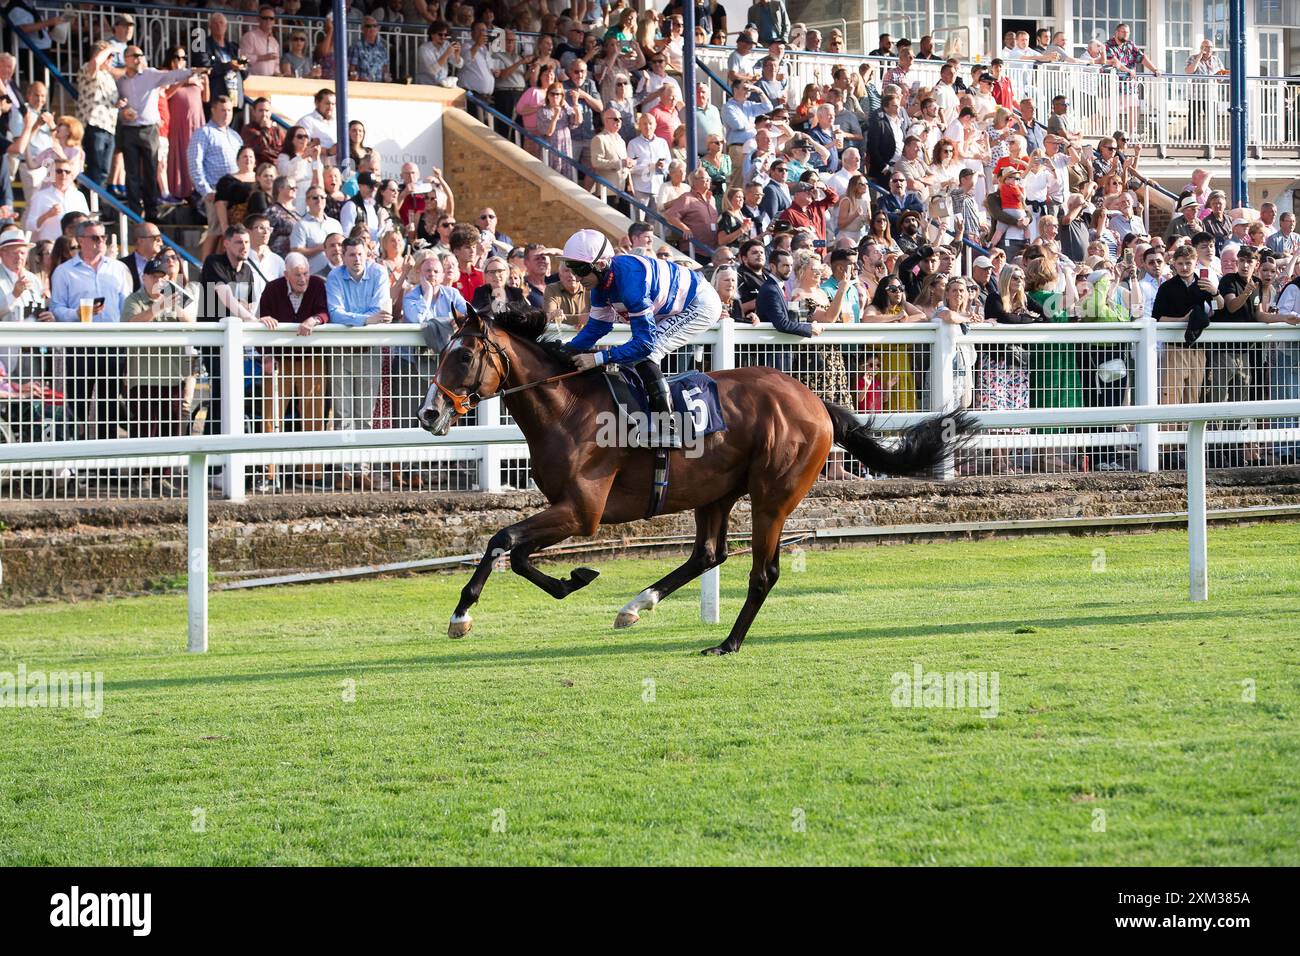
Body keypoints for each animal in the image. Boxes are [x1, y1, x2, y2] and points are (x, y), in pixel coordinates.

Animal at [418, 310, 977, 655]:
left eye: (463, 356)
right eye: (440, 354)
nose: (428, 413)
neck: (568, 408)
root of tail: (816, 402)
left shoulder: (582, 511)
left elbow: (502, 540)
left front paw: (462, 615)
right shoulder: (569, 509)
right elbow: (514, 551)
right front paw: (573, 579)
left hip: (773, 495)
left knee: (763, 572)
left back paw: (727, 642)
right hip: (715, 493)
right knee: (708, 554)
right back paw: (635, 606)